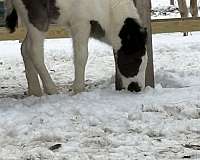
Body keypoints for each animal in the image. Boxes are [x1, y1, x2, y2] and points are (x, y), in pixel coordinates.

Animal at [3, 0, 148, 96]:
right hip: (36, 17)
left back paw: (35, 91)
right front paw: (78, 89)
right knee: (34, 51)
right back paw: (51, 89)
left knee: (24, 48)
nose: (137, 88)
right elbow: (81, 56)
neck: (107, 7)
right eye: (136, 59)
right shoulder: (81, 23)